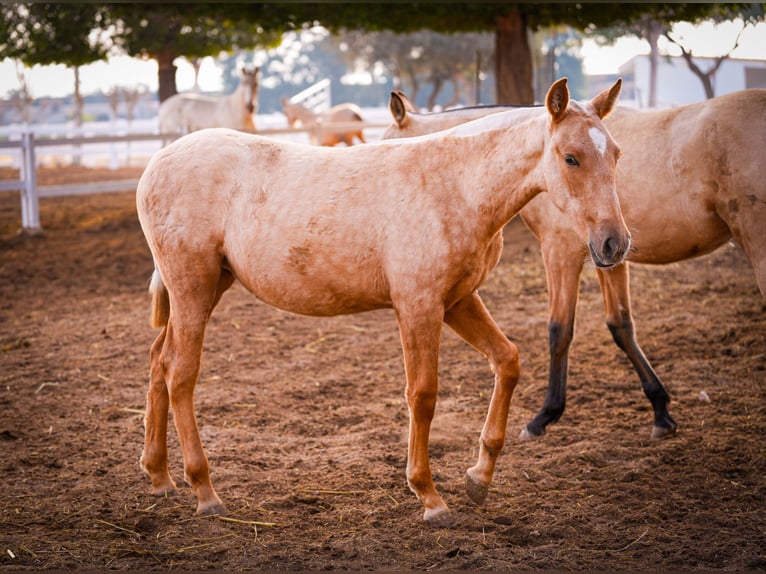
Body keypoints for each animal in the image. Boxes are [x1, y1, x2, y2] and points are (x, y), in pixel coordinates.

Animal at [138, 77, 632, 528]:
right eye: (570, 157)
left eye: (616, 155)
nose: (614, 243)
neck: (454, 185)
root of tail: (155, 163)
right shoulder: (418, 306)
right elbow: (423, 395)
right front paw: (429, 496)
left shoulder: (457, 301)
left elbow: (507, 361)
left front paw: (479, 476)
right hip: (193, 290)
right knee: (180, 374)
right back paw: (204, 491)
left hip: (204, 290)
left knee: (159, 362)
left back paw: (160, 477)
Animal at [388, 88, 766, 444]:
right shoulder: (607, 254)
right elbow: (621, 325)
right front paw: (660, 410)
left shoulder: (560, 252)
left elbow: (560, 330)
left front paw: (543, 416)